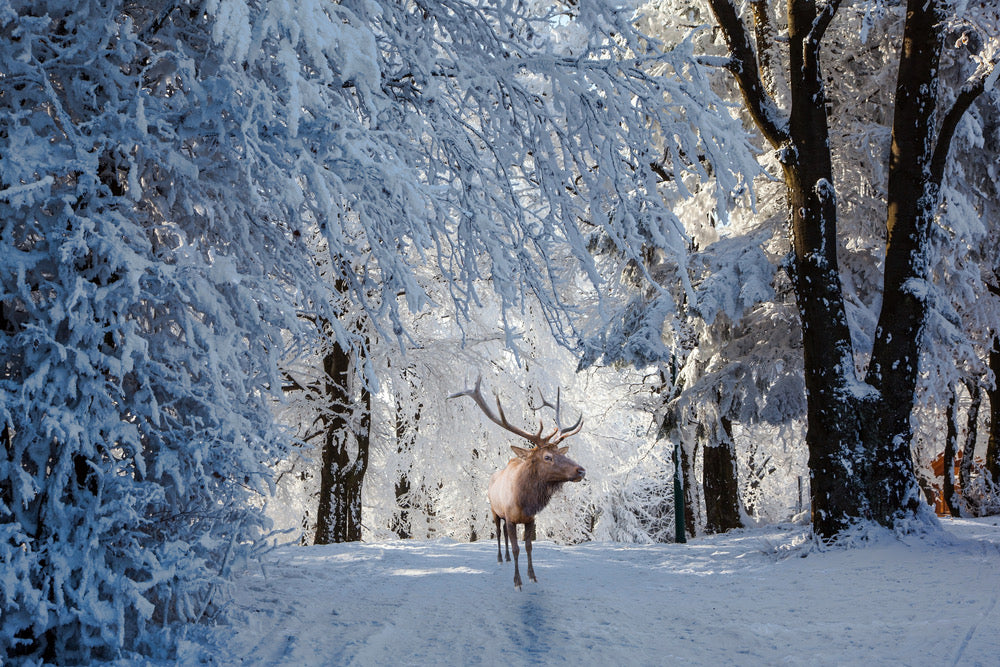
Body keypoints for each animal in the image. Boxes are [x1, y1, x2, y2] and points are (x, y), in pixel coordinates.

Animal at [448, 376, 584, 588]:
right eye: (547, 457)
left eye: (560, 454)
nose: (581, 470)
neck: (525, 502)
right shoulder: (511, 518)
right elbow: (516, 548)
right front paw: (517, 581)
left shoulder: (530, 520)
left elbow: (528, 547)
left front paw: (532, 575)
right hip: (494, 511)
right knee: (498, 531)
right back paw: (500, 558)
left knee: (504, 533)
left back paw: (506, 558)